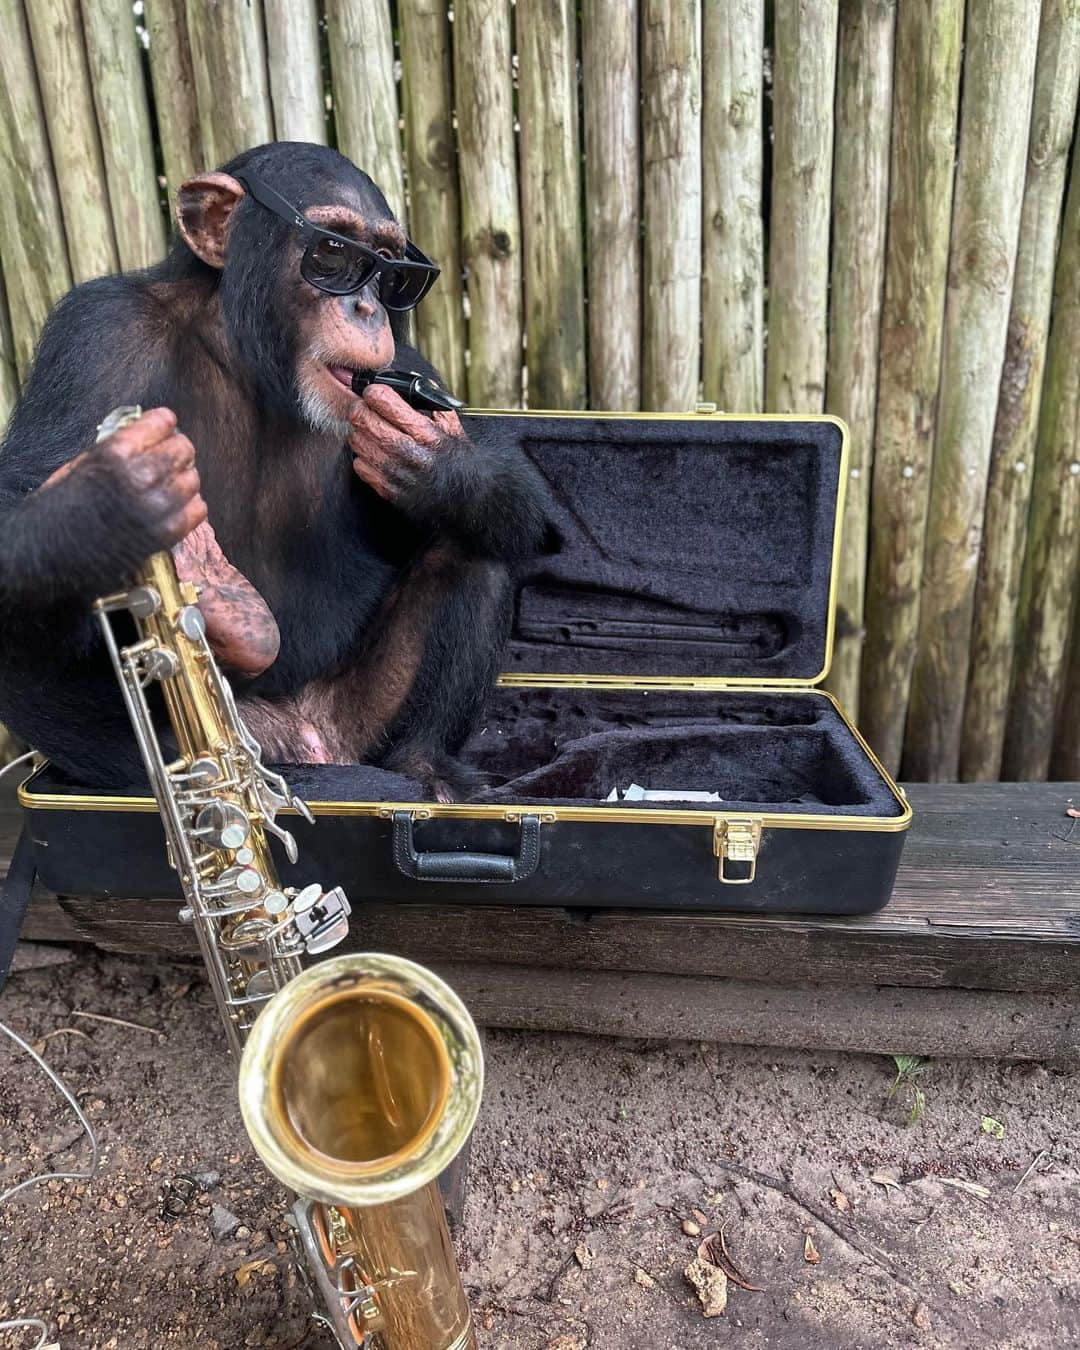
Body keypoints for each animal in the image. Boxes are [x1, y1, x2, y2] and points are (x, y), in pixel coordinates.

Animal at [0, 145, 548, 799]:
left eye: (395, 274)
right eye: (334, 252)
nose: (367, 307)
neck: (254, 362)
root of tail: (312, 740)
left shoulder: (407, 367)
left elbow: (521, 500)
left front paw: (434, 461)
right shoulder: (96, 332)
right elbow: (19, 487)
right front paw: (113, 503)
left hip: (355, 721)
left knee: (476, 546)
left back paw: (426, 768)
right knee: (27, 648)